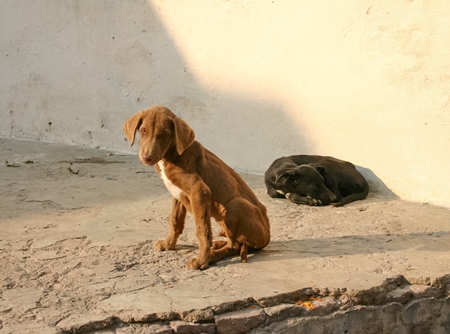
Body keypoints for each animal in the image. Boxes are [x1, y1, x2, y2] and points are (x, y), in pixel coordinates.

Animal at [123, 105, 268, 270]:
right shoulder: (178, 194)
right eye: (143, 130)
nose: (147, 158)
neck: (173, 154)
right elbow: (175, 221)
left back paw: (212, 256)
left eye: (164, 135)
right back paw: (217, 244)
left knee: (235, 245)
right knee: (236, 243)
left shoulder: (199, 191)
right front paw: (168, 244)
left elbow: (202, 230)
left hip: (236, 205)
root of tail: (267, 237)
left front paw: (202, 261)